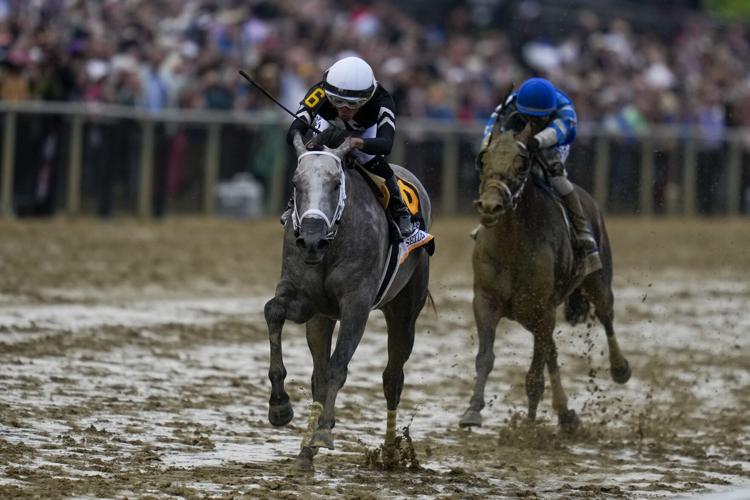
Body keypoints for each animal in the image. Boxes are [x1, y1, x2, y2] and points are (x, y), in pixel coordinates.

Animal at [264, 133, 431, 469]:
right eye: (295, 182)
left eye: (335, 184)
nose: (311, 240)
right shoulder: (305, 300)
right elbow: (273, 311)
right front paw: (279, 406)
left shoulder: (357, 305)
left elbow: (338, 368)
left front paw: (323, 431)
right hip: (321, 320)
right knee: (318, 374)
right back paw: (306, 450)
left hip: (405, 311)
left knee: (392, 378)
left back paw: (390, 452)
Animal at [459, 123, 631, 431]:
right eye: (483, 161)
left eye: (521, 164)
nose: (490, 206)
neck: (511, 245)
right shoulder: (485, 301)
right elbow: (485, 358)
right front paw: (472, 411)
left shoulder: (543, 309)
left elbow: (535, 376)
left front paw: (527, 427)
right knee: (551, 350)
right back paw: (565, 413)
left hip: (597, 280)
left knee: (605, 315)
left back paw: (620, 368)